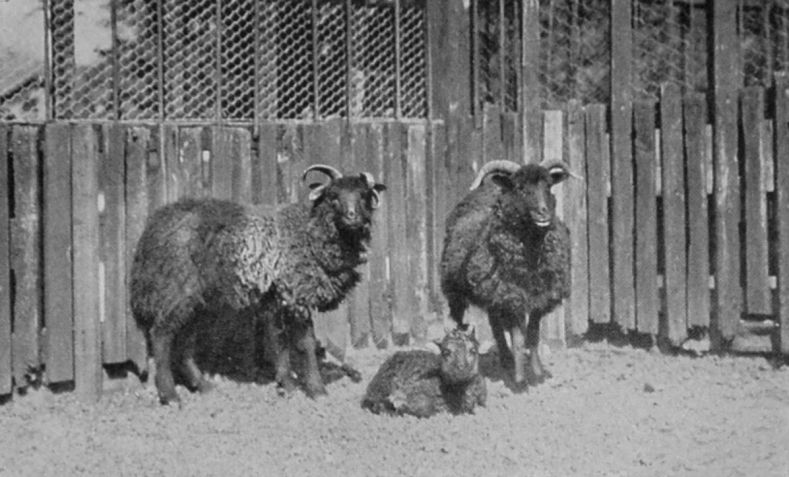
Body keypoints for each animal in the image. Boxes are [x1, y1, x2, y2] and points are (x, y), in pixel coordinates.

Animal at [130, 164, 386, 405]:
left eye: (364, 195)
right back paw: (170, 395)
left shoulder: (275, 298)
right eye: (333, 196)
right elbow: (304, 344)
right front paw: (317, 390)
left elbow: (278, 341)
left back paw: (203, 386)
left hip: (198, 299)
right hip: (177, 288)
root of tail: (154, 226)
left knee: (184, 341)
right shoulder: (297, 294)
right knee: (161, 335)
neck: (309, 231)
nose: (352, 217)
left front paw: (287, 385)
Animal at [439, 159, 573, 387]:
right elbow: (518, 339)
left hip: (495, 294)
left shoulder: (538, 298)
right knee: (461, 320)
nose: (543, 213)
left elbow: (532, 337)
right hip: (458, 290)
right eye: (520, 188)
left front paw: (537, 373)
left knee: (495, 325)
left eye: (548, 186)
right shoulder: (511, 296)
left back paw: (506, 359)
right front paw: (520, 381)